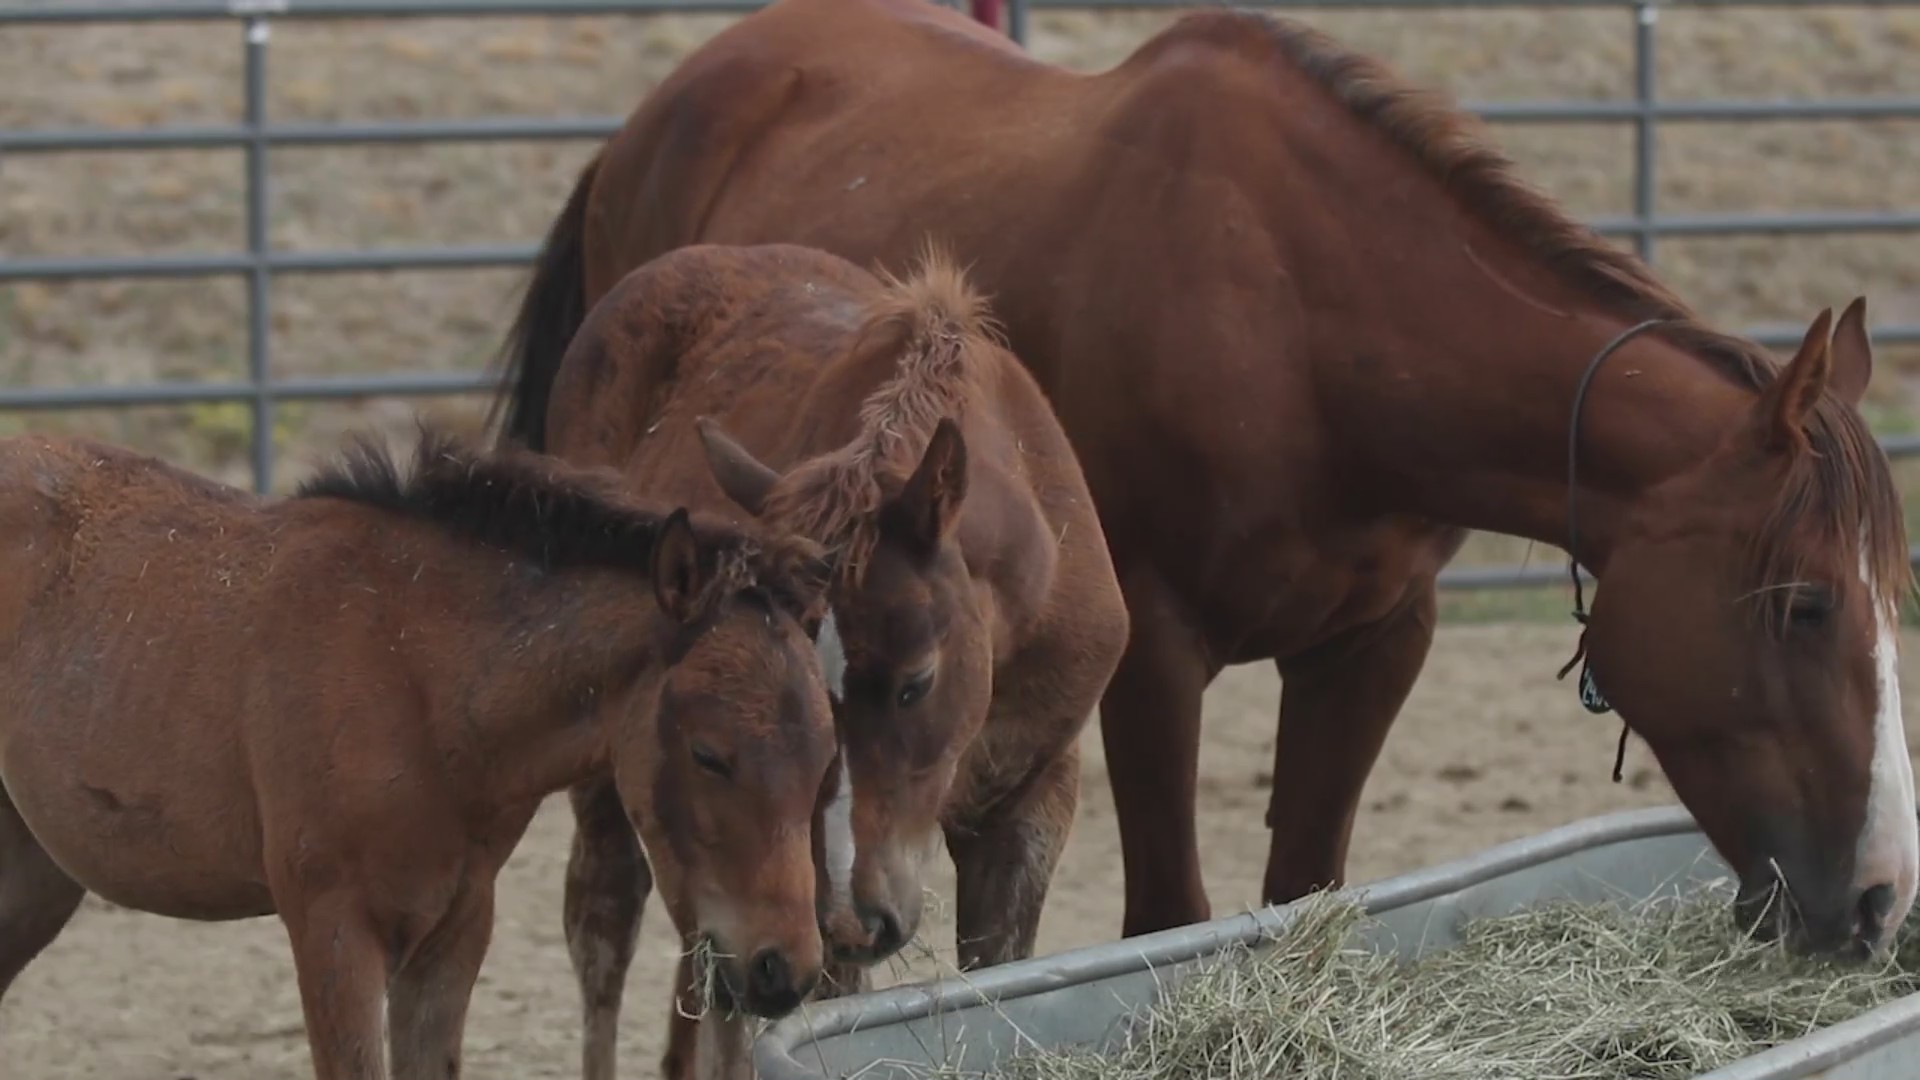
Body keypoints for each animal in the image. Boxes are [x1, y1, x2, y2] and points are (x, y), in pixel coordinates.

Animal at [0, 426, 838, 1080]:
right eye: (709, 754)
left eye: (827, 759)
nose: (785, 968)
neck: (416, 677)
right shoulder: (332, 928)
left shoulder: (454, 930)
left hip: (33, 875)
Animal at [500, 0, 1918, 960]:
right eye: (1802, 604)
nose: (1881, 897)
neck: (1306, 321)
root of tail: (651, 123)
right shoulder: (1157, 662)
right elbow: (1166, 915)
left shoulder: (1376, 641)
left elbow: (1302, 886)